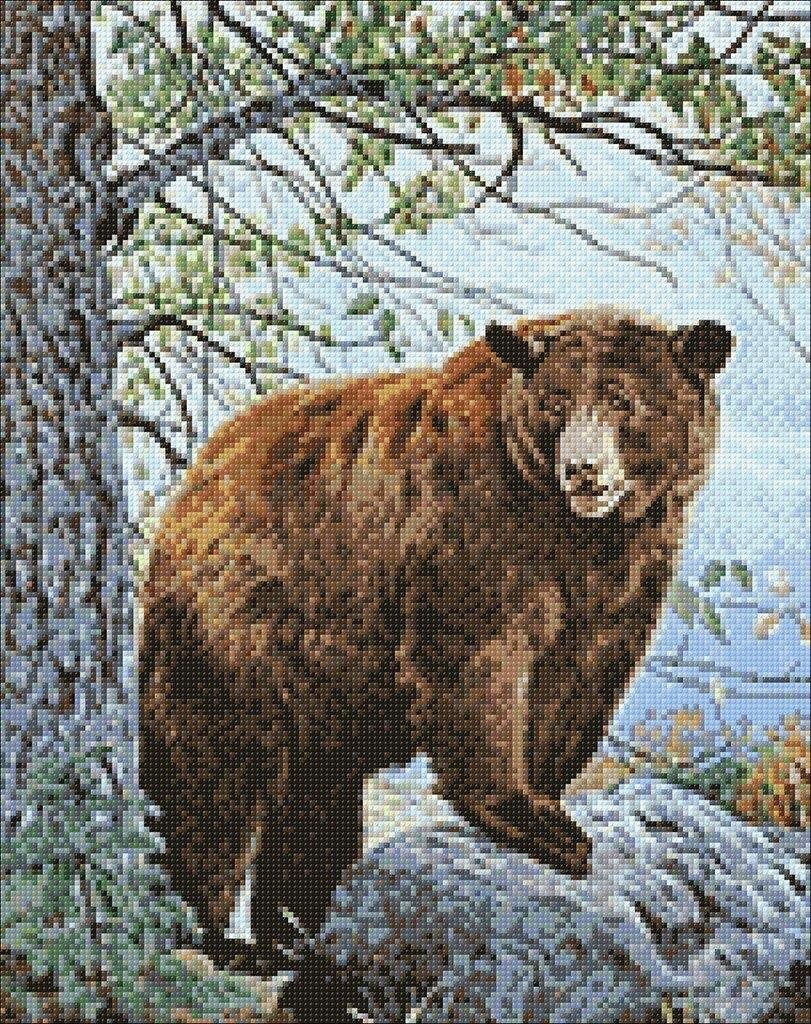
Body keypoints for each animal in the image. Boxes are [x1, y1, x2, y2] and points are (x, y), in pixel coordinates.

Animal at [138, 309, 733, 989]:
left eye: (623, 401)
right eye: (557, 403)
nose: (584, 470)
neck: (577, 531)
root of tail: (193, 481)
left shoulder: (627, 574)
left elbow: (577, 682)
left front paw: (549, 795)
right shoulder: (475, 520)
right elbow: (475, 657)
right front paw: (536, 822)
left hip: (319, 680)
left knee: (313, 793)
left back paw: (295, 926)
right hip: (236, 627)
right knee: (212, 779)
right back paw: (222, 938)